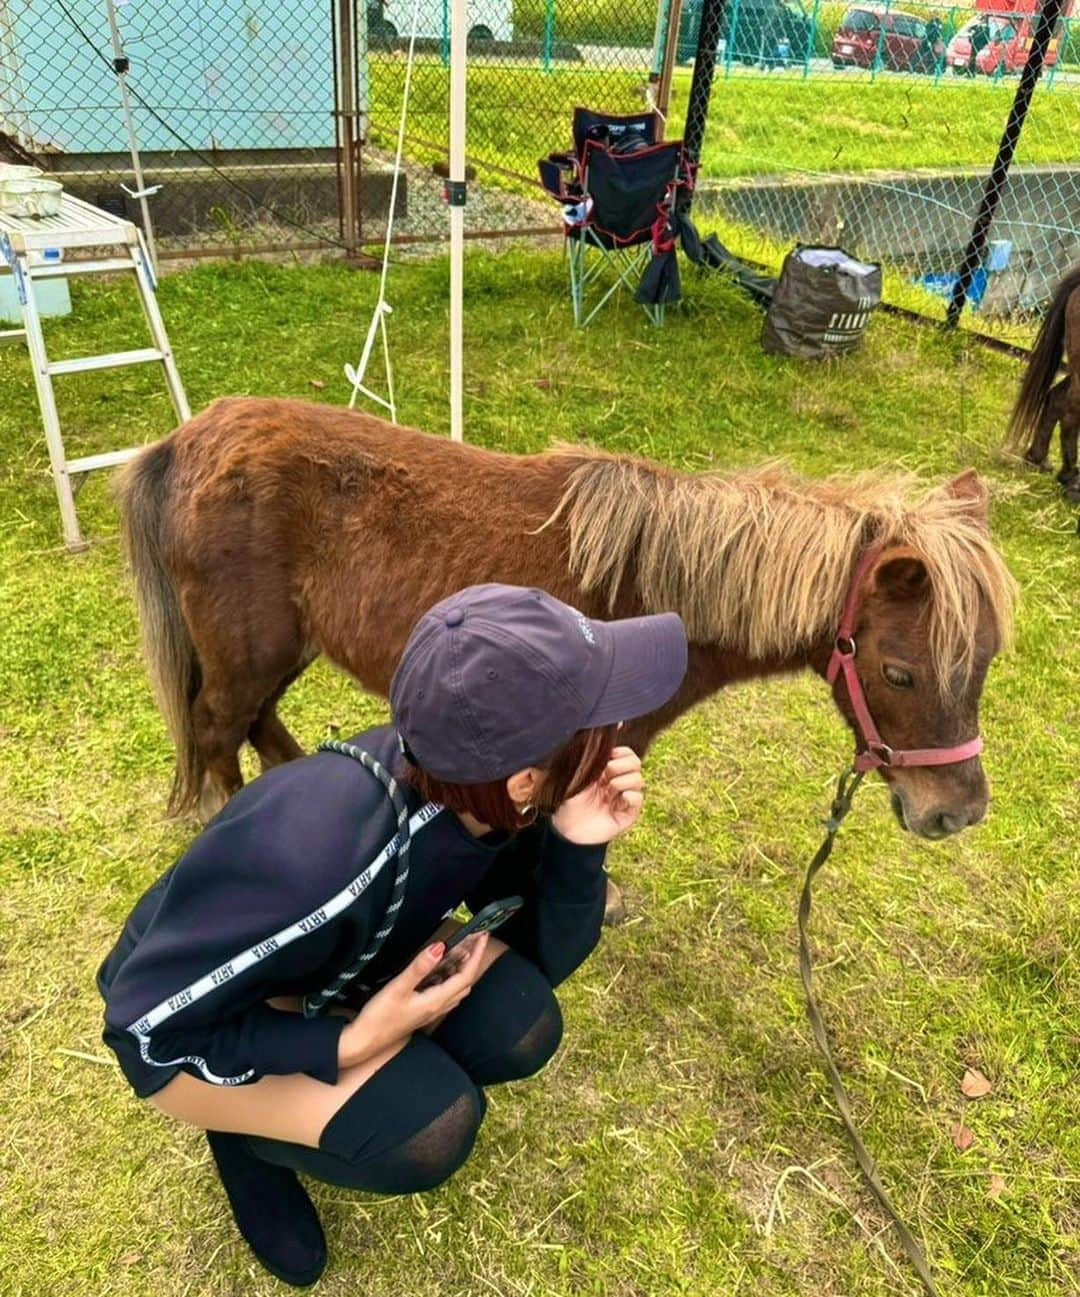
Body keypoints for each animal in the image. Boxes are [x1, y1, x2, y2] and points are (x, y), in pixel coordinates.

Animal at [121, 396, 1016, 861]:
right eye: (898, 671)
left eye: (984, 666)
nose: (957, 814)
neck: (655, 593)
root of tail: (189, 438)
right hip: (245, 652)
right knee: (218, 729)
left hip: (284, 649)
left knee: (259, 722)